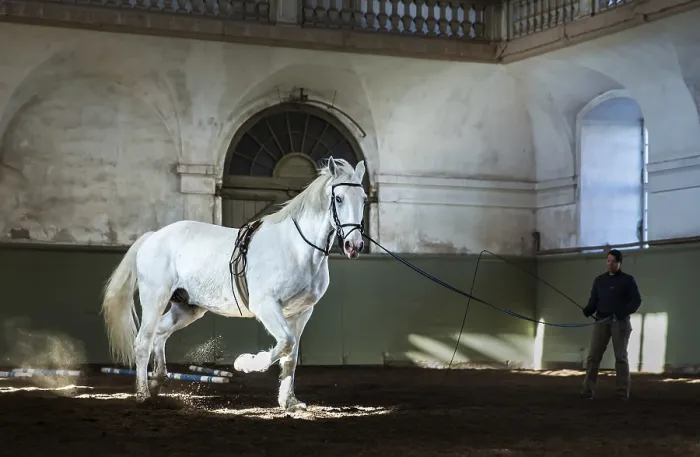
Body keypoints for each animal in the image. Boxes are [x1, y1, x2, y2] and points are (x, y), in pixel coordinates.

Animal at [101, 157, 367, 411]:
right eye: (339, 198)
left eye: (364, 199)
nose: (354, 245)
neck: (297, 248)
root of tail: (152, 237)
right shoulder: (267, 306)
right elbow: (285, 342)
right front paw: (246, 363)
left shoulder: (301, 312)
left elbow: (290, 355)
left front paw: (289, 401)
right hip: (155, 298)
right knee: (143, 342)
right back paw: (143, 395)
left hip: (186, 308)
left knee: (160, 333)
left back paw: (158, 380)